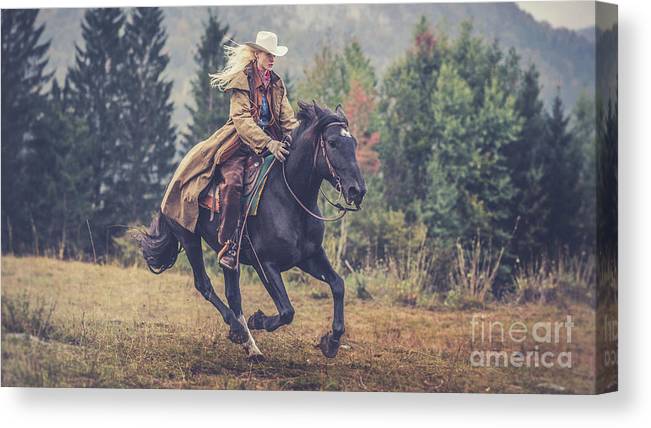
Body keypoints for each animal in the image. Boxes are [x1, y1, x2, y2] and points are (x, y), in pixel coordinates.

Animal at [136, 102, 366, 360]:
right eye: (333, 142)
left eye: (354, 143)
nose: (357, 190)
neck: (290, 199)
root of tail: (175, 176)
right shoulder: (265, 263)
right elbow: (287, 311)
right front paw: (258, 320)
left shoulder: (310, 256)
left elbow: (338, 285)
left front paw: (332, 341)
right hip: (188, 238)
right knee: (204, 285)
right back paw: (238, 330)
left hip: (228, 255)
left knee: (232, 294)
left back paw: (250, 345)